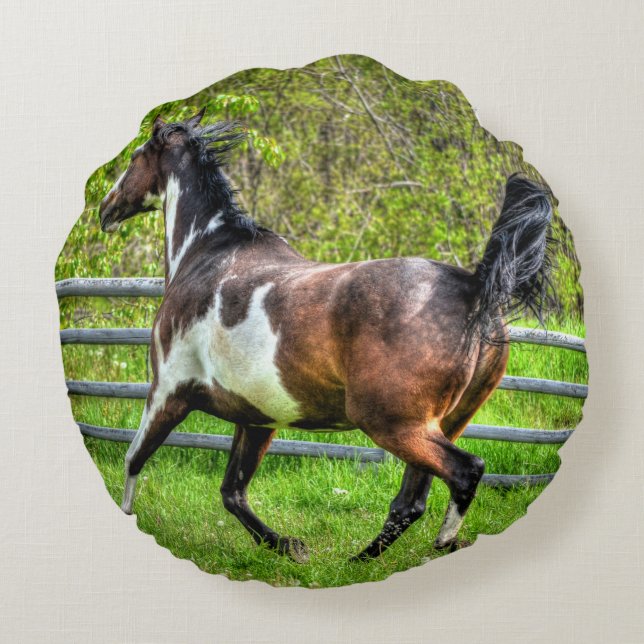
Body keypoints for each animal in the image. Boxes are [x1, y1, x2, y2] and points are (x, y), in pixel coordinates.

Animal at [98, 109, 553, 562]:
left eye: (135, 157)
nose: (105, 209)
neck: (206, 253)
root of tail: (474, 288)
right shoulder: (257, 416)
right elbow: (233, 492)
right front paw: (289, 546)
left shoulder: (167, 392)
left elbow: (133, 462)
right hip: (446, 422)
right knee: (410, 501)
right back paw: (360, 561)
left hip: (393, 424)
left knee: (464, 473)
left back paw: (435, 545)